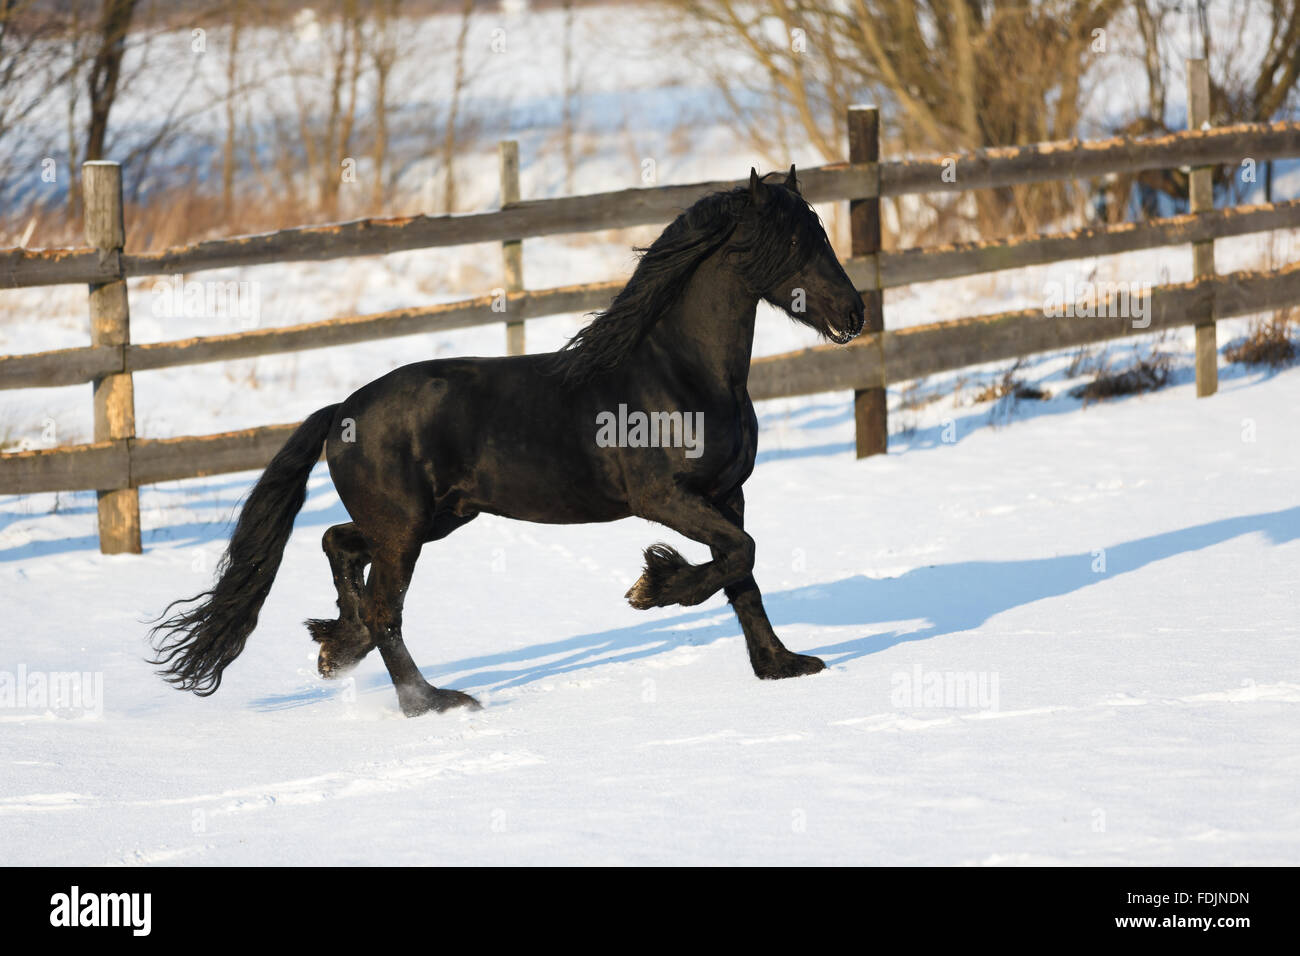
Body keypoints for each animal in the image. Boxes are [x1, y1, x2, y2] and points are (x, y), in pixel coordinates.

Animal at [150, 166, 866, 717]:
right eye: (792, 240)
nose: (854, 313)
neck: (679, 374)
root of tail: (341, 412)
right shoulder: (664, 498)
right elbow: (738, 556)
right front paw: (651, 588)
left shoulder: (728, 494)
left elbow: (743, 573)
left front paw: (782, 665)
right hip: (407, 529)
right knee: (385, 609)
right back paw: (433, 702)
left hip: (430, 519)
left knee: (338, 545)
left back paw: (337, 646)